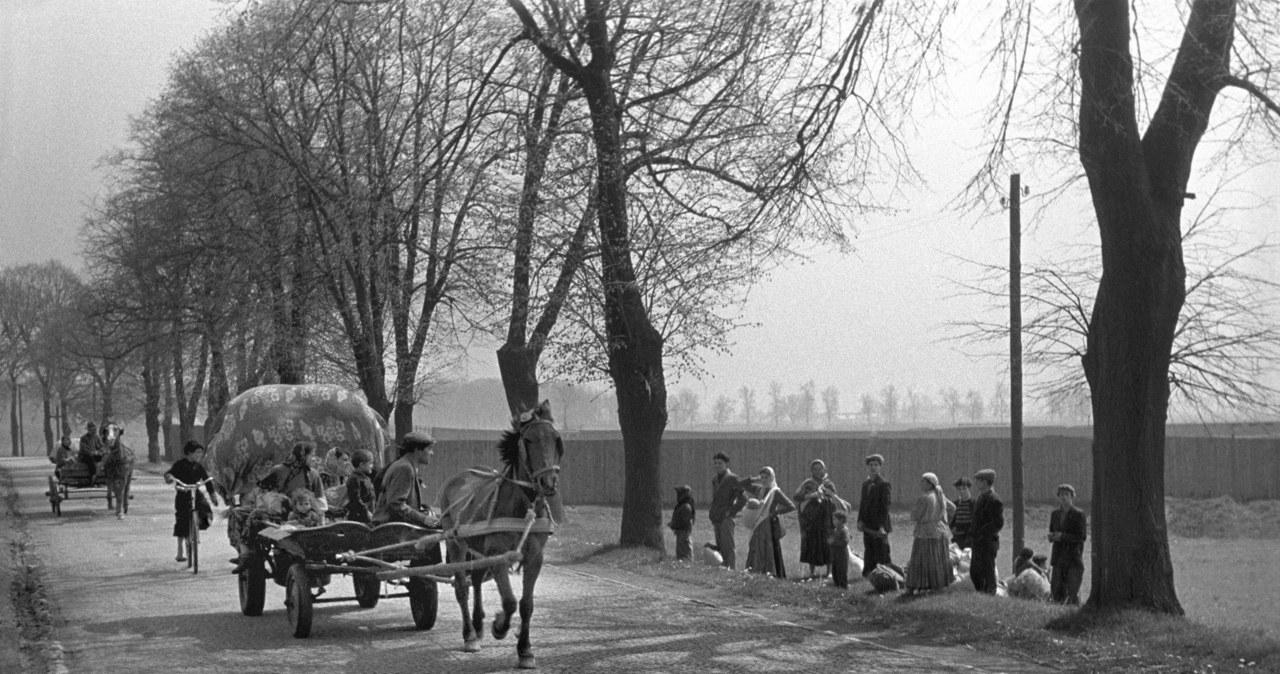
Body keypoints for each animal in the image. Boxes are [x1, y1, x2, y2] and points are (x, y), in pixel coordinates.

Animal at [437, 401, 563, 670]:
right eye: (528, 440)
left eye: (556, 439)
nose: (548, 482)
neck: (522, 506)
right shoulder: (499, 556)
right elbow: (510, 601)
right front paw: (499, 625)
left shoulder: (534, 558)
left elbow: (526, 604)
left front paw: (525, 650)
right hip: (455, 542)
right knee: (462, 587)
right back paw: (470, 635)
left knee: (475, 580)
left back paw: (478, 625)